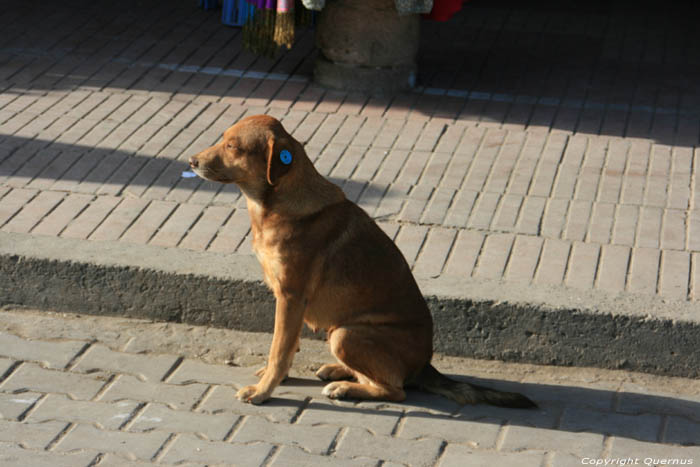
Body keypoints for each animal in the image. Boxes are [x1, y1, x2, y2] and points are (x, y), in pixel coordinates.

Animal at [189, 115, 532, 408]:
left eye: (234, 146)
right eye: (223, 139)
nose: (191, 161)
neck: (275, 205)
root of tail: (424, 366)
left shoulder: (290, 297)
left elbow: (279, 349)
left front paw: (263, 391)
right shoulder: (286, 299)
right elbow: (288, 345)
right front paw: (277, 379)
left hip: (345, 334)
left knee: (395, 389)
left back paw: (345, 387)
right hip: (338, 331)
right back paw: (338, 372)